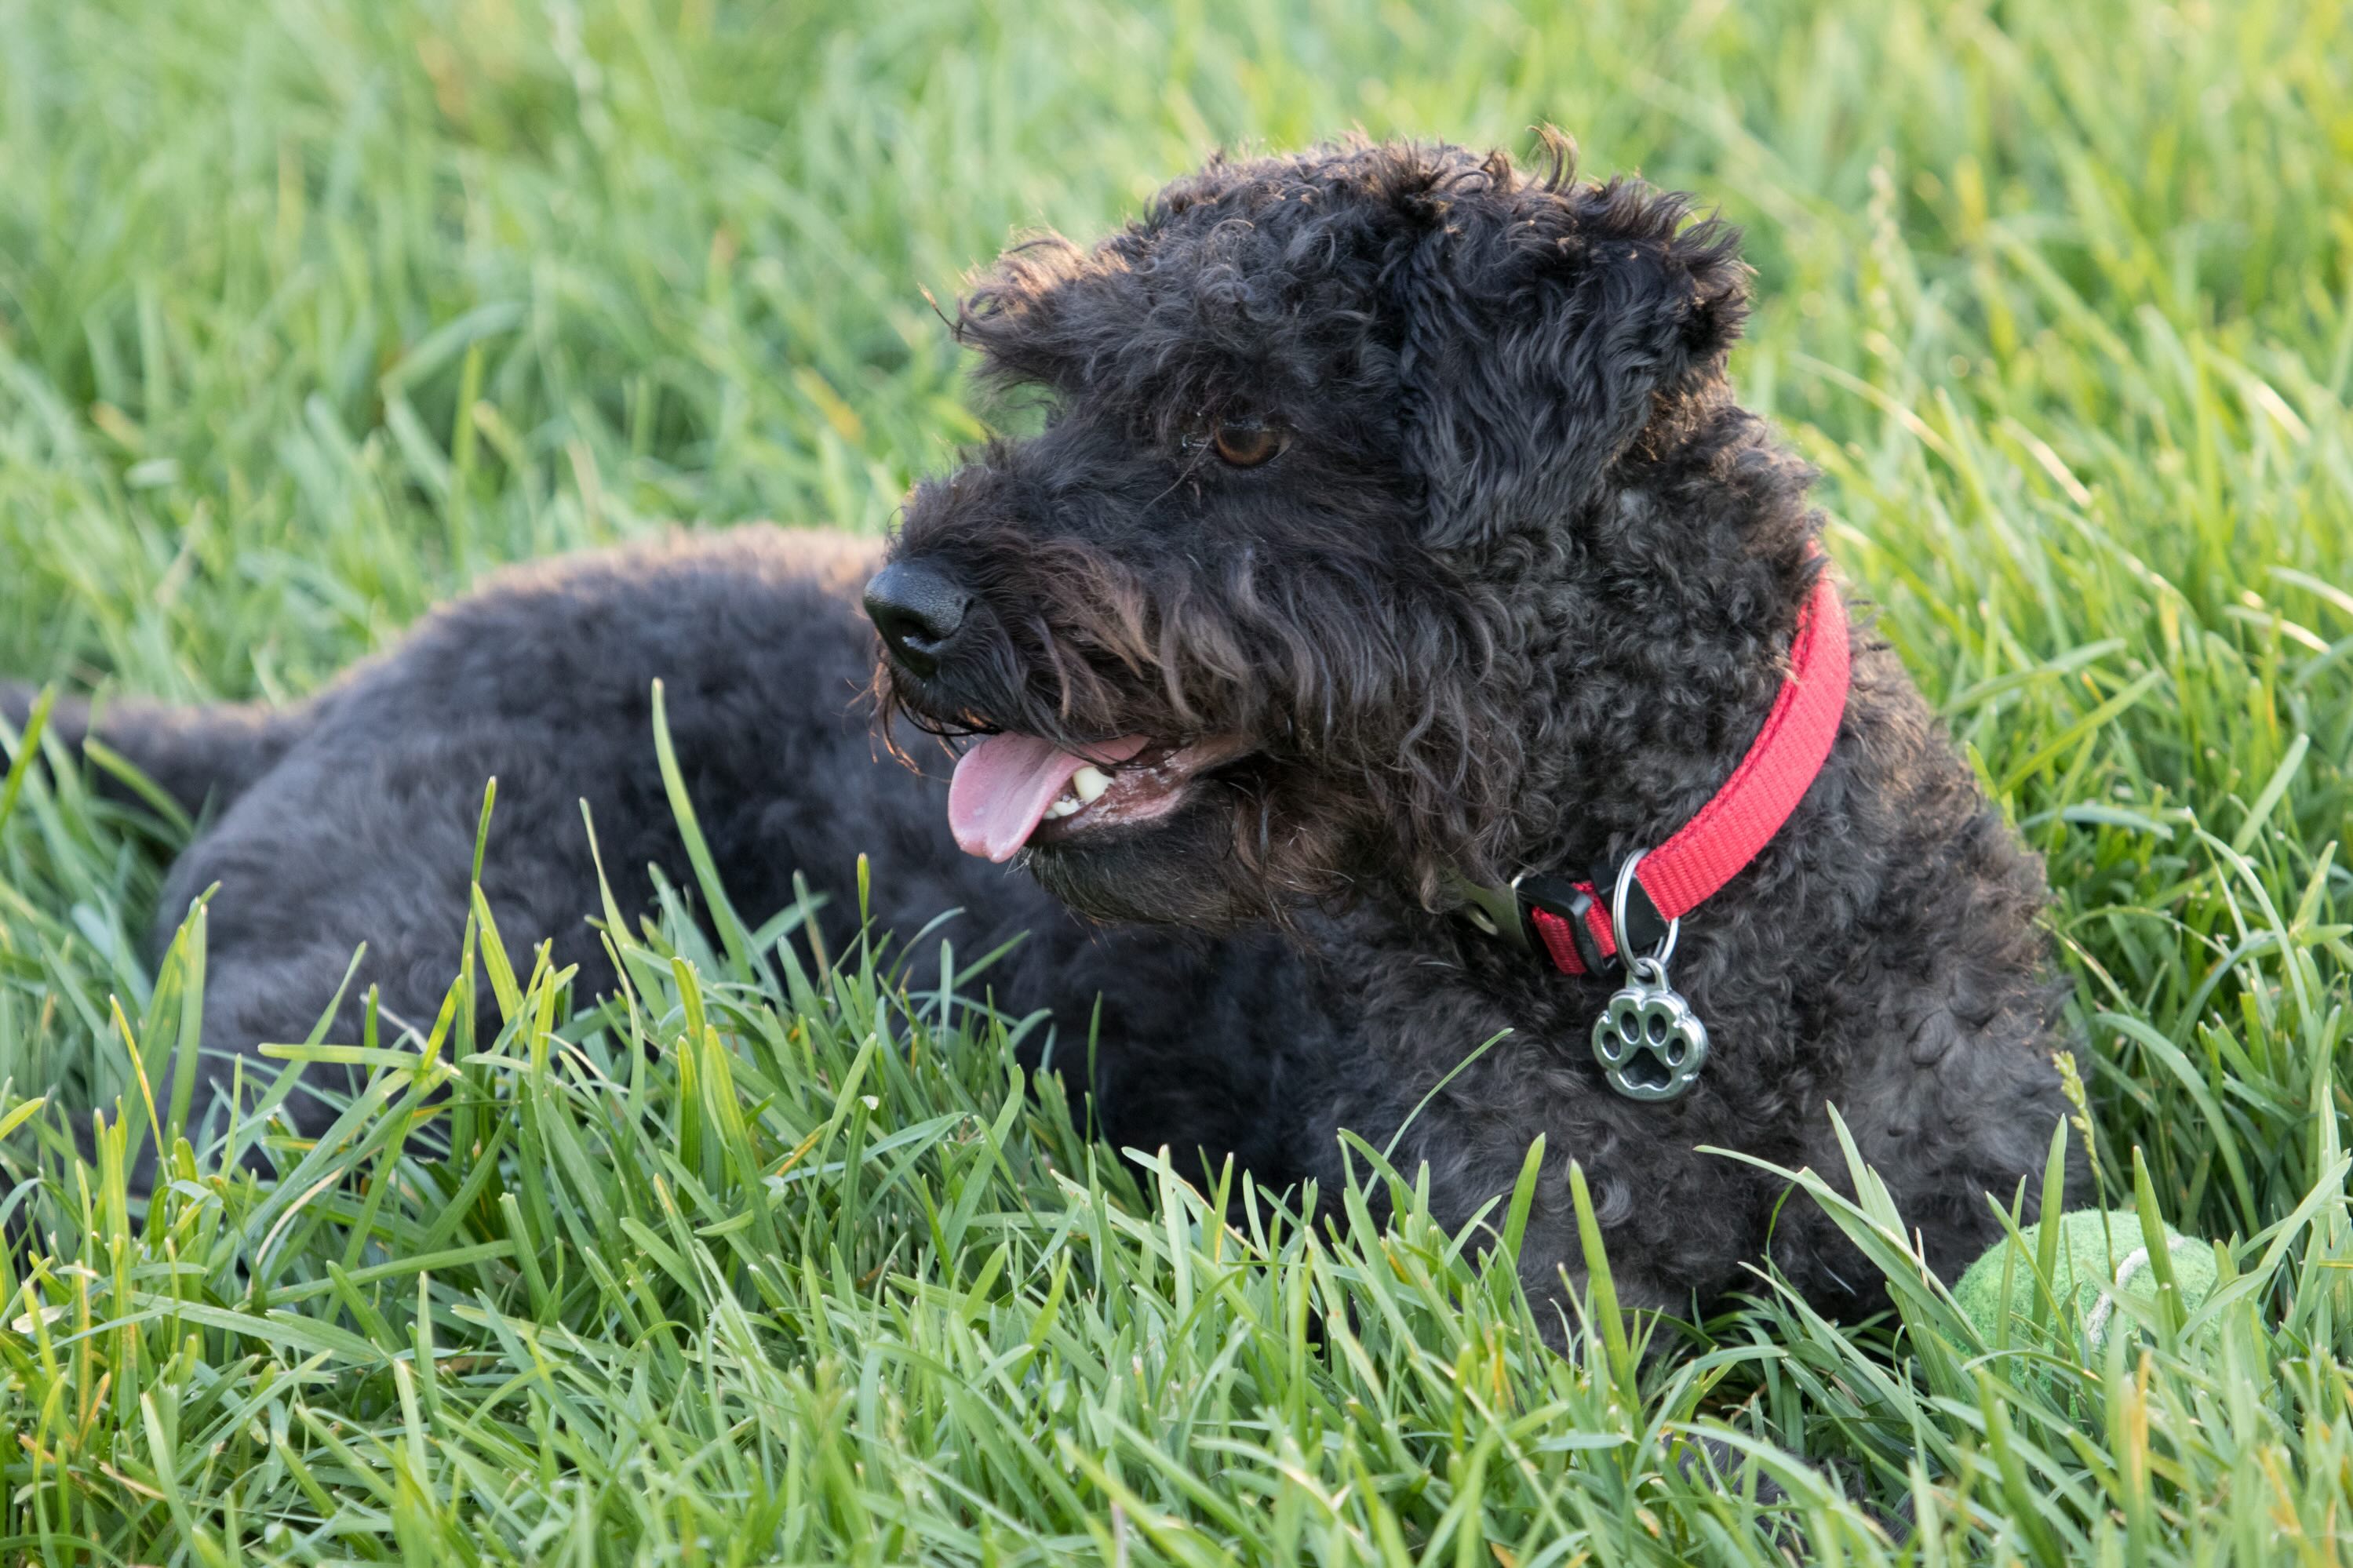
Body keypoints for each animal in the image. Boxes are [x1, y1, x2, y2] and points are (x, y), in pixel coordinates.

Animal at [4, 135, 2061, 1316]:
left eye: (1239, 425)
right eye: (1054, 387)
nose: (900, 613)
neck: (1654, 914)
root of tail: (311, 705)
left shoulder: (1975, 1218)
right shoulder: (1518, 1298)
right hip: (367, 1024)